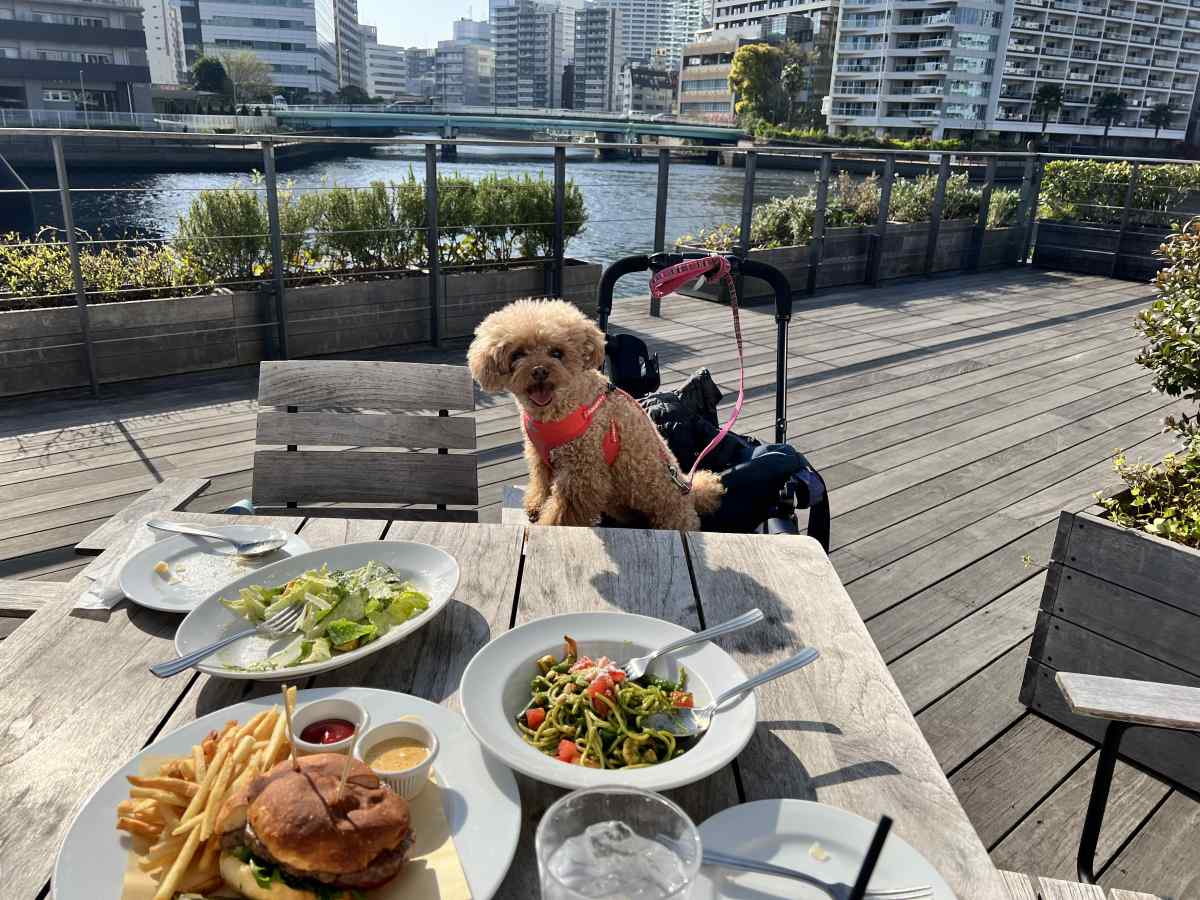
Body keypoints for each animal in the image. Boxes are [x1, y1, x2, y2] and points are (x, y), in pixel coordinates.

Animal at [468, 300, 720, 532]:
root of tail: (687, 490)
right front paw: (536, 506)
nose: (539, 370)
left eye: (557, 353)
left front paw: (547, 524)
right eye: (517, 354)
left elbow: (562, 514)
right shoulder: (540, 458)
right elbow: (541, 485)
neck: (555, 412)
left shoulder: (582, 472)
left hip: (669, 515)